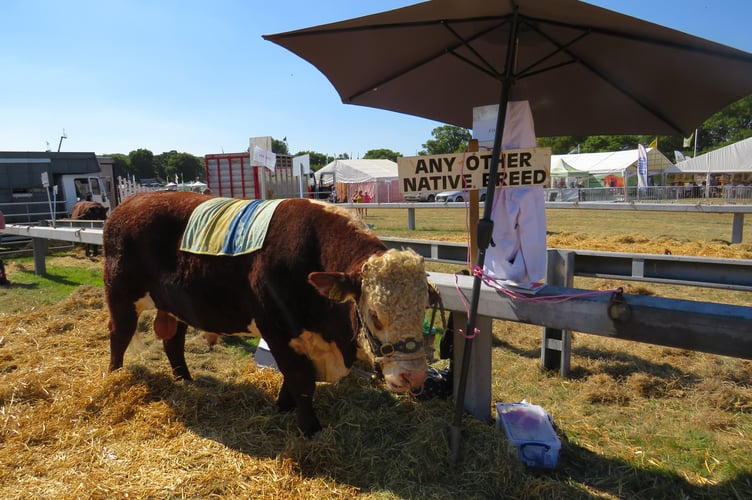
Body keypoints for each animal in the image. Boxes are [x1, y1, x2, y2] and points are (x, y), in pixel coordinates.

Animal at [102, 190, 428, 434]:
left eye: (423, 310)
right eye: (374, 315)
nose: (414, 377)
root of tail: (130, 202)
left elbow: (293, 380)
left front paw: (283, 407)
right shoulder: (277, 329)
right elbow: (300, 379)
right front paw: (309, 427)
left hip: (175, 305)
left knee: (173, 342)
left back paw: (184, 379)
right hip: (120, 295)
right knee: (120, 335)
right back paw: (114, 376)